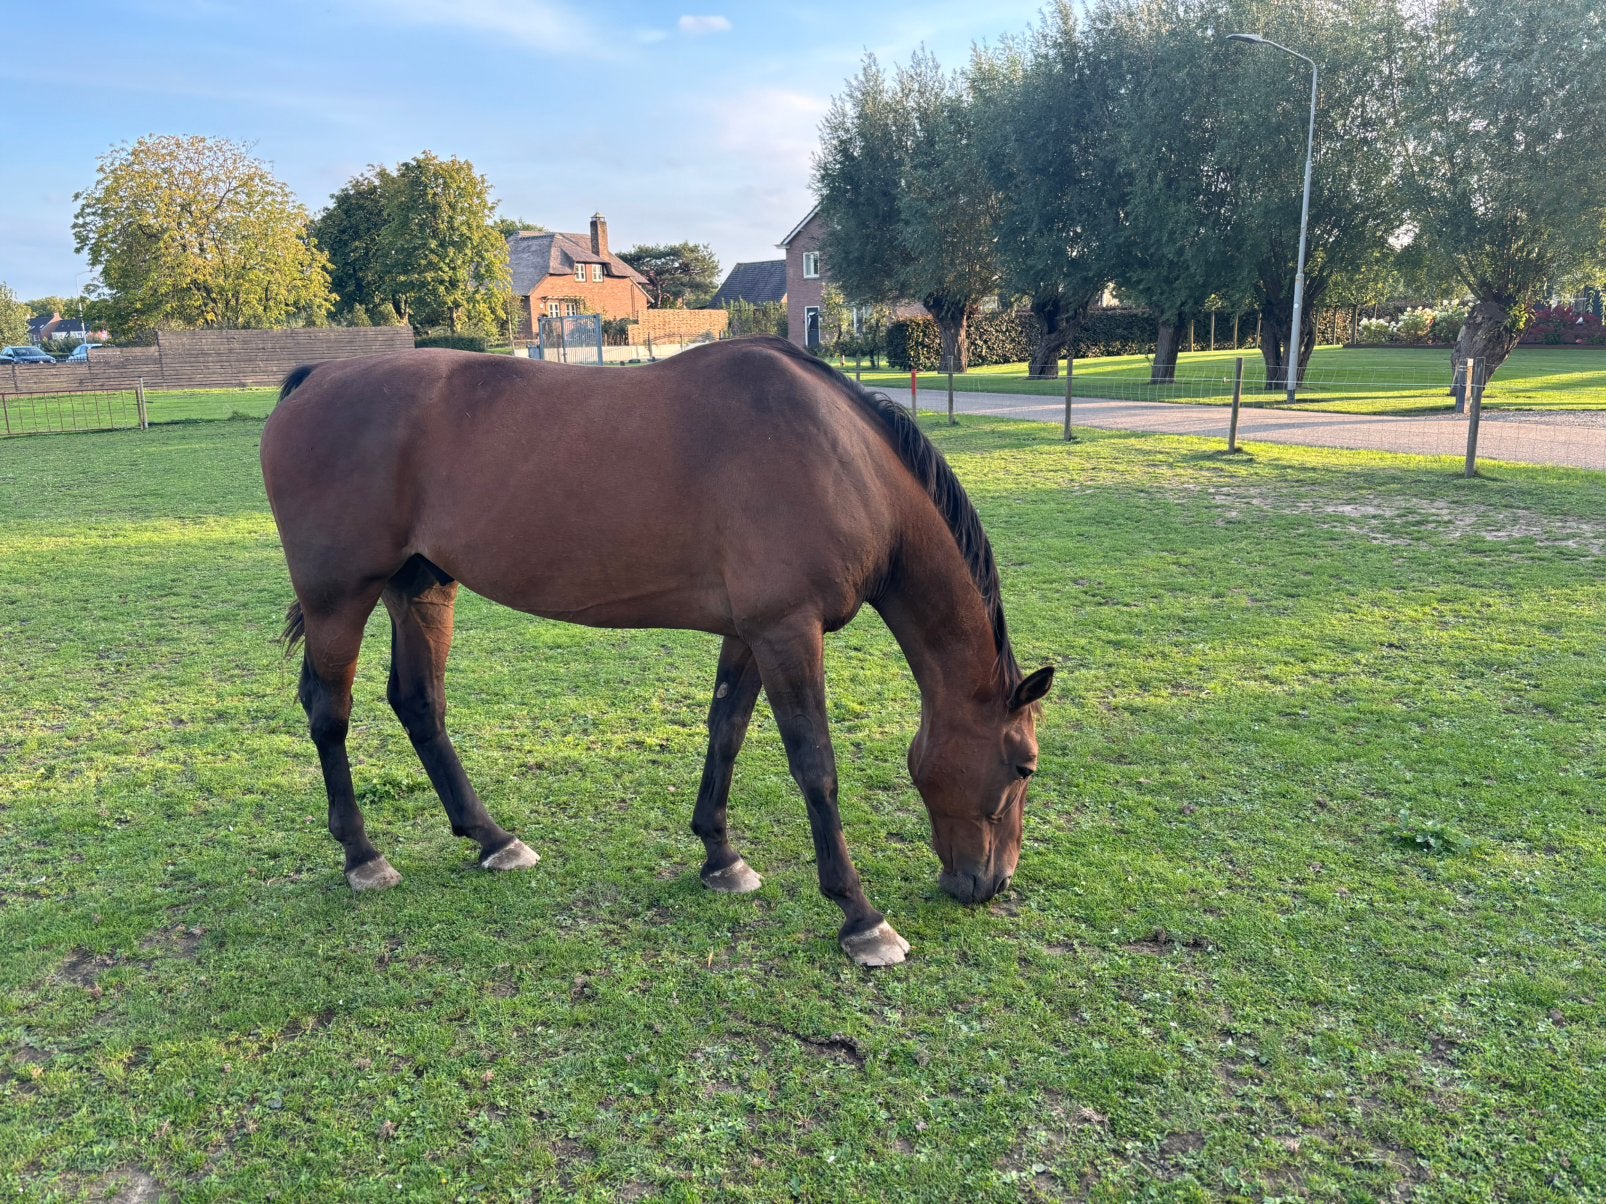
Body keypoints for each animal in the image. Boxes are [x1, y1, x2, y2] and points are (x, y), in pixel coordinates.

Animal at [259, 336, 1052, 967]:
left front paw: (720, 857)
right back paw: (363, 855)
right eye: (1023, 766)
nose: (990, 884)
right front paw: (860, 917)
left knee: (419, 704)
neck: (841, 459)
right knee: (329, 712)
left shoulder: (751, 632)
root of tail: (316, 378)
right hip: (339, 598)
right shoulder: (787, 631)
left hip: (420, 586)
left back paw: (491, 838)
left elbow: (725, 732)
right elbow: (815, 768)